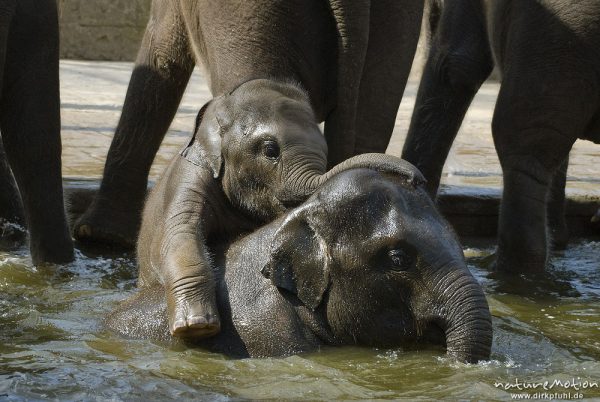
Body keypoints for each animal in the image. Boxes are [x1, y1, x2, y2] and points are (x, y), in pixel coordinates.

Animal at [139, 78, 424, 340]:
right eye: (270, 150)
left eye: (326, 151)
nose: (416, 178)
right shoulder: (188, 180)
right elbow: (179, 236)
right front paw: (197, 327)